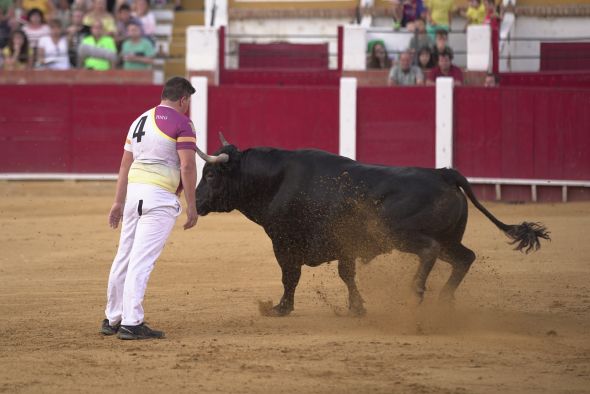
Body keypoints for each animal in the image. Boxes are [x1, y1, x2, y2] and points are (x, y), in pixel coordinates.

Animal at [195, 140, 552, 316]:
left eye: (210, 175)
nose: (195, 202)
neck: (276, 180)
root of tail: (444, 173)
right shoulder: (343, 247)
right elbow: (347, 275)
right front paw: (357, 308)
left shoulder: (285, 243)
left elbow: (290, 277)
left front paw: (280, 309)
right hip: (450, 239)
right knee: (465, 258)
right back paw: (443, 302)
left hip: (400, 234)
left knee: (429, 251)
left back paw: (416, 294)